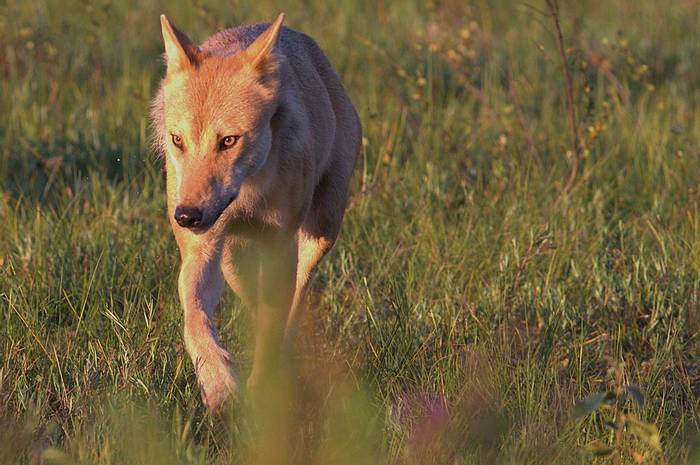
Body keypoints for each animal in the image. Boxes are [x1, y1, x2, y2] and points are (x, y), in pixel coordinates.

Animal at [151, 12, 364, 408]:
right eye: (177, 140)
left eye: (228, 141)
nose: (186, 216)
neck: (247, 196)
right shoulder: (201, 252)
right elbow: (194, 318)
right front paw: (219, 383)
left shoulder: (280, 247)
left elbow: (273, 322)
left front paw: (262, 388)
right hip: (232, 261)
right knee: (254, 304)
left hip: (320, 233)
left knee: (293, 301)